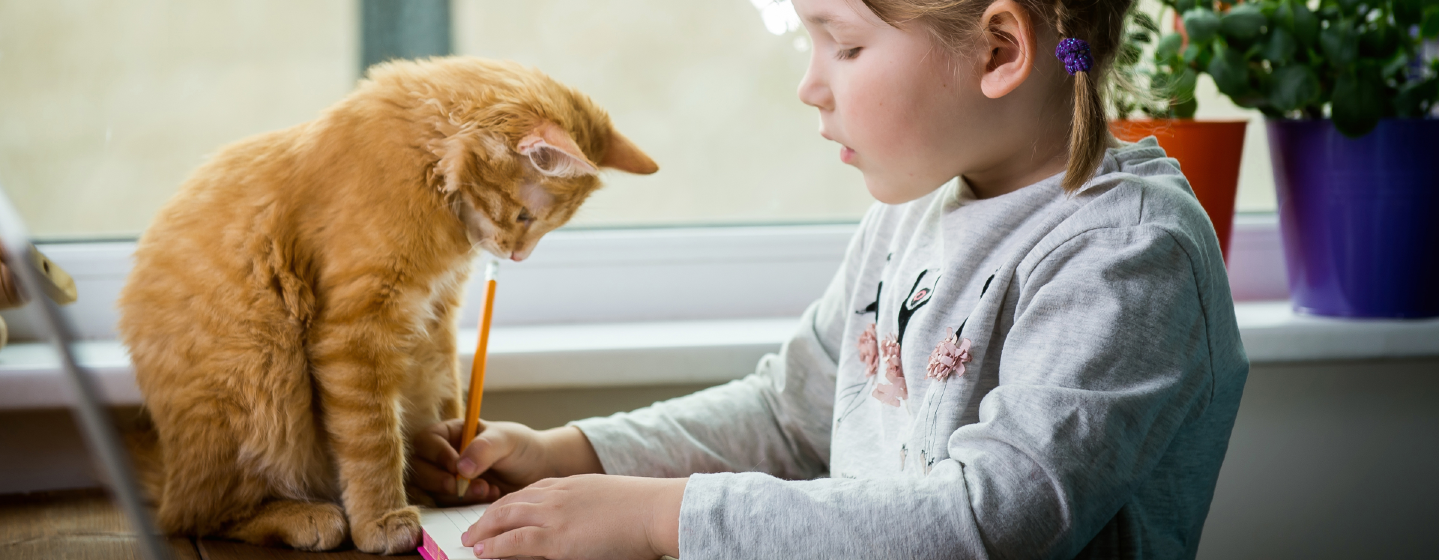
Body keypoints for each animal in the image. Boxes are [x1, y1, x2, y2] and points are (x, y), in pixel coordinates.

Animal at [117, 54, 659, 552]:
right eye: (526, 216)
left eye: (546, 226)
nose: (517, 256)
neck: (429, 166)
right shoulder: (355, 331)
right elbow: (373, 438)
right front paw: (383, 517)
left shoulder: (433, 323)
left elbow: (443, 401)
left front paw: (455, 469)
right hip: (263, 371)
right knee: (197, 516)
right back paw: (304, 516)